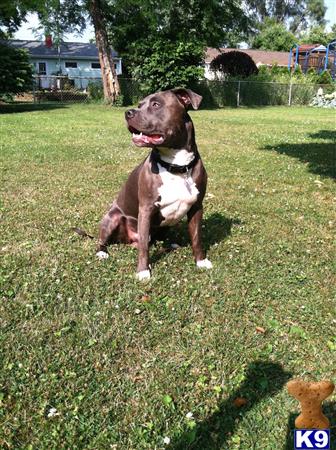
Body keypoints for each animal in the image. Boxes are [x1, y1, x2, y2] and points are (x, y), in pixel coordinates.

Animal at [96, 86, 213, 280]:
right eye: (139, 105)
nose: (128, 112)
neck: (177, 166)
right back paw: (101, 252)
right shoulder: (146, 208)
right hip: (112, 217)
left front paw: (201, 261)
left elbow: (197, 237)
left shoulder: (197, 206)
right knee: (106, 239)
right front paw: (143, 271)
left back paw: (171, 244)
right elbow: (144, 245)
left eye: (156, 104)